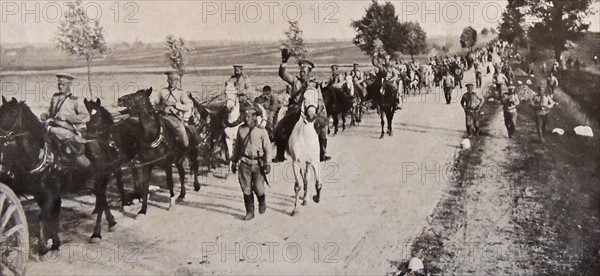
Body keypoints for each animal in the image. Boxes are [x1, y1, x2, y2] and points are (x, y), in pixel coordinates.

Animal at [288, 88, 322, 216]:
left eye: (317, 98)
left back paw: (306, 198)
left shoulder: (315, 161)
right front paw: (295, 210)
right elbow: (298, 185)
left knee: (307, 178)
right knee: (304, 179)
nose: (311, 116)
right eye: (304, 98)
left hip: (308, 163)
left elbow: (318, 183)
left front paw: (317, 198)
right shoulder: (296, 162)